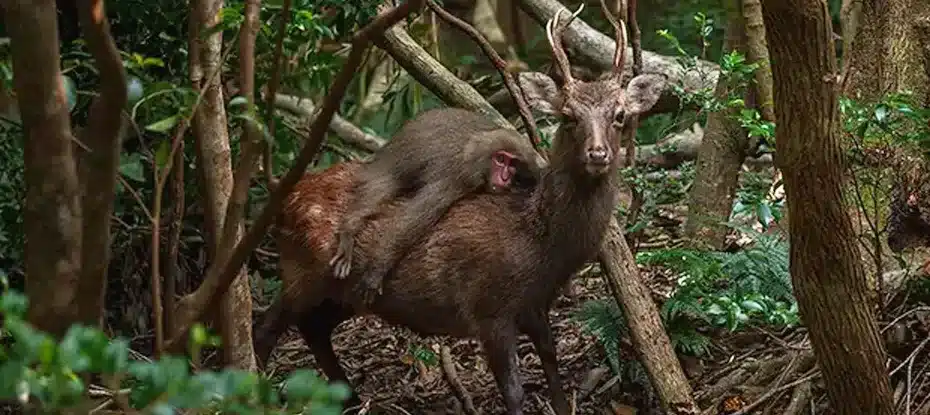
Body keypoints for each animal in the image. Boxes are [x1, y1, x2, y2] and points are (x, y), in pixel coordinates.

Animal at [328, 107, 547, 304]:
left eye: (512, 164)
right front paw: (376, 269)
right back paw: (350, 226)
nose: (504, 178)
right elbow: (412, 221)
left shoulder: (532, 170)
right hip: (391, 162)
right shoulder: (457, 176)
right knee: (381, 186)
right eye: (500, 159)